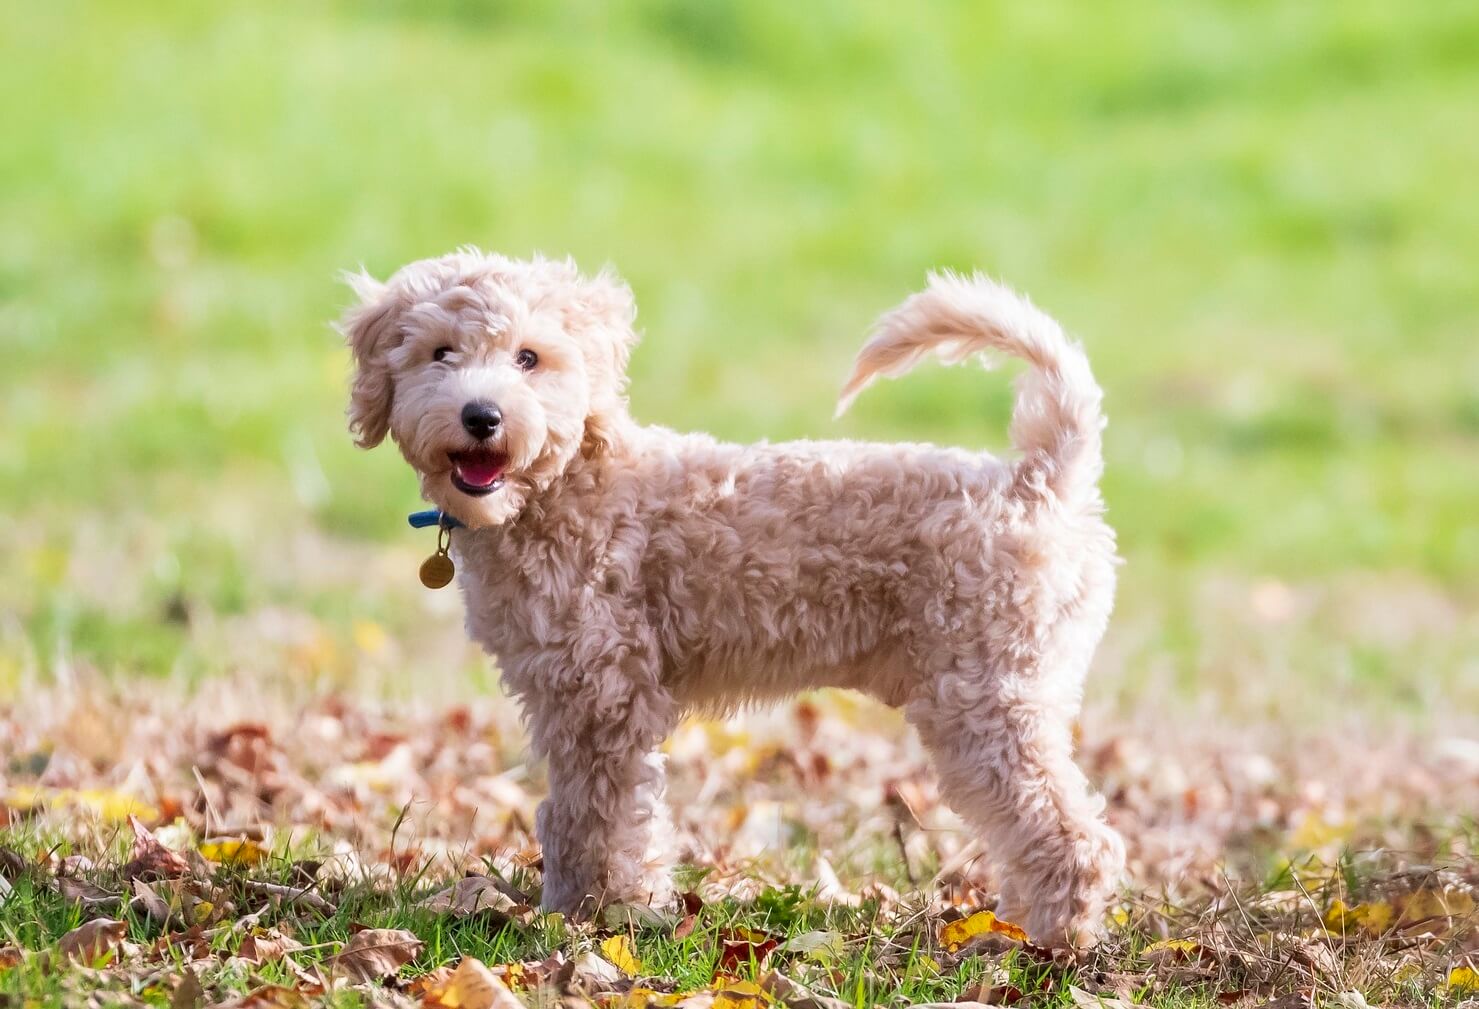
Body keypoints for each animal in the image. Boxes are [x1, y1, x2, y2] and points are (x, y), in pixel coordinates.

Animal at [343, 250, 1118, 940]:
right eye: (440, 352)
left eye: (528, 358)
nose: (481, 416)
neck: (564, 485)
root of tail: (1040, 480)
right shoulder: (566, 693)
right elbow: (578, 812)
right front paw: (586, 907)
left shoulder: (603, 694)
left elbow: (595, 816)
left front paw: (593, 916)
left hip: (985, 696)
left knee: (1073, 833)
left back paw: (1043, 940)